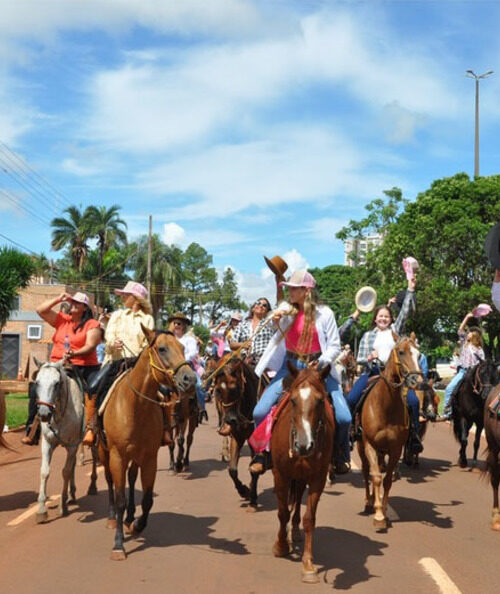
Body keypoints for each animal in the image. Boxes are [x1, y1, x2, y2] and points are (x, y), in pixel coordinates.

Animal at [33, 358, 94, 520]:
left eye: (56, 383)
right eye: (37, 382)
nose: (44, 413)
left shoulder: (72, 445)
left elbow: (65, 472)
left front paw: (62, 505)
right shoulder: (48, 443)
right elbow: (44, 472)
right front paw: (42, 509)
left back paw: (92, 487)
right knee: (72, 464)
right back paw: (72, 494)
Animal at [97, 326, 197, 556]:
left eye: (182, 348)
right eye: (162, 349)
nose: (190, 379)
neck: (135, 407)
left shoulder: (150, 457)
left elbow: (148, 499)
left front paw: (137, 525)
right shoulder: (117, 456)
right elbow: (120, 498)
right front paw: (118, 545)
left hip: (137, 455)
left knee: (133, 478)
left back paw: (129, 518)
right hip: (103, 451)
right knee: (109, 480)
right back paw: (112, 518)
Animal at [268, 360, 334, 584]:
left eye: (320, 401)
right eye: (293, 401)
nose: (304, 446)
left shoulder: (317, 478)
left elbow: (309, 518)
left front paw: (308, 564)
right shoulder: (281, 474)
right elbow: (282, 512)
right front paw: (280, 546)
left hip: (302, 477)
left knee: (297, 500)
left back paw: (295, 531)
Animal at [356, 336, 422, 528]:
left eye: (419, 354)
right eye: (401, 352)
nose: (417, 380)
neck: (386, 404)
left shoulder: (395, 449)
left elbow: (386, 480)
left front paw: (383, 510)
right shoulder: (369, 444)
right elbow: (376, 477)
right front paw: (378, 515)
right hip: (361, 446)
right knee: (366, 472)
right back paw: (368, 501)